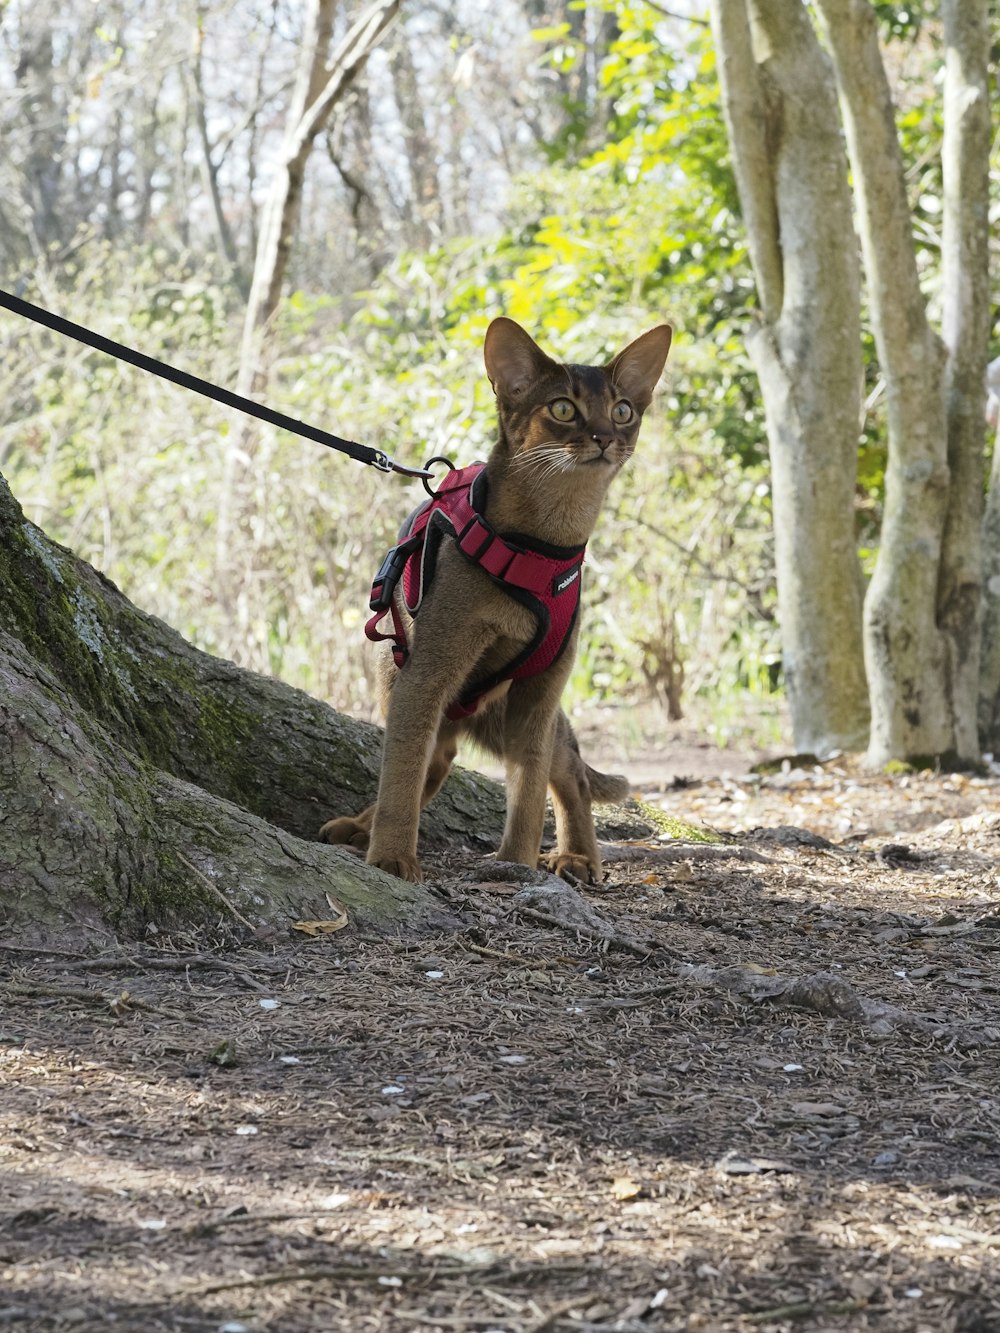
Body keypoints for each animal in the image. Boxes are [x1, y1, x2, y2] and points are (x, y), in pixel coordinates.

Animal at [322, 311, 674, 885]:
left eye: (623, 409)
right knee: (430, 761)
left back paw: (578, 857)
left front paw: (517, 863)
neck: (540, 550)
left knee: (569, 773)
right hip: (399, 675)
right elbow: (401, 772)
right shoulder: (426, 673)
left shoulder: (541, 690)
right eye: (563, 408)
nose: (604, 438)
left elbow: (529, 790)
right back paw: (362, 827)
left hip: (511, 712)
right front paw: (393, 857)